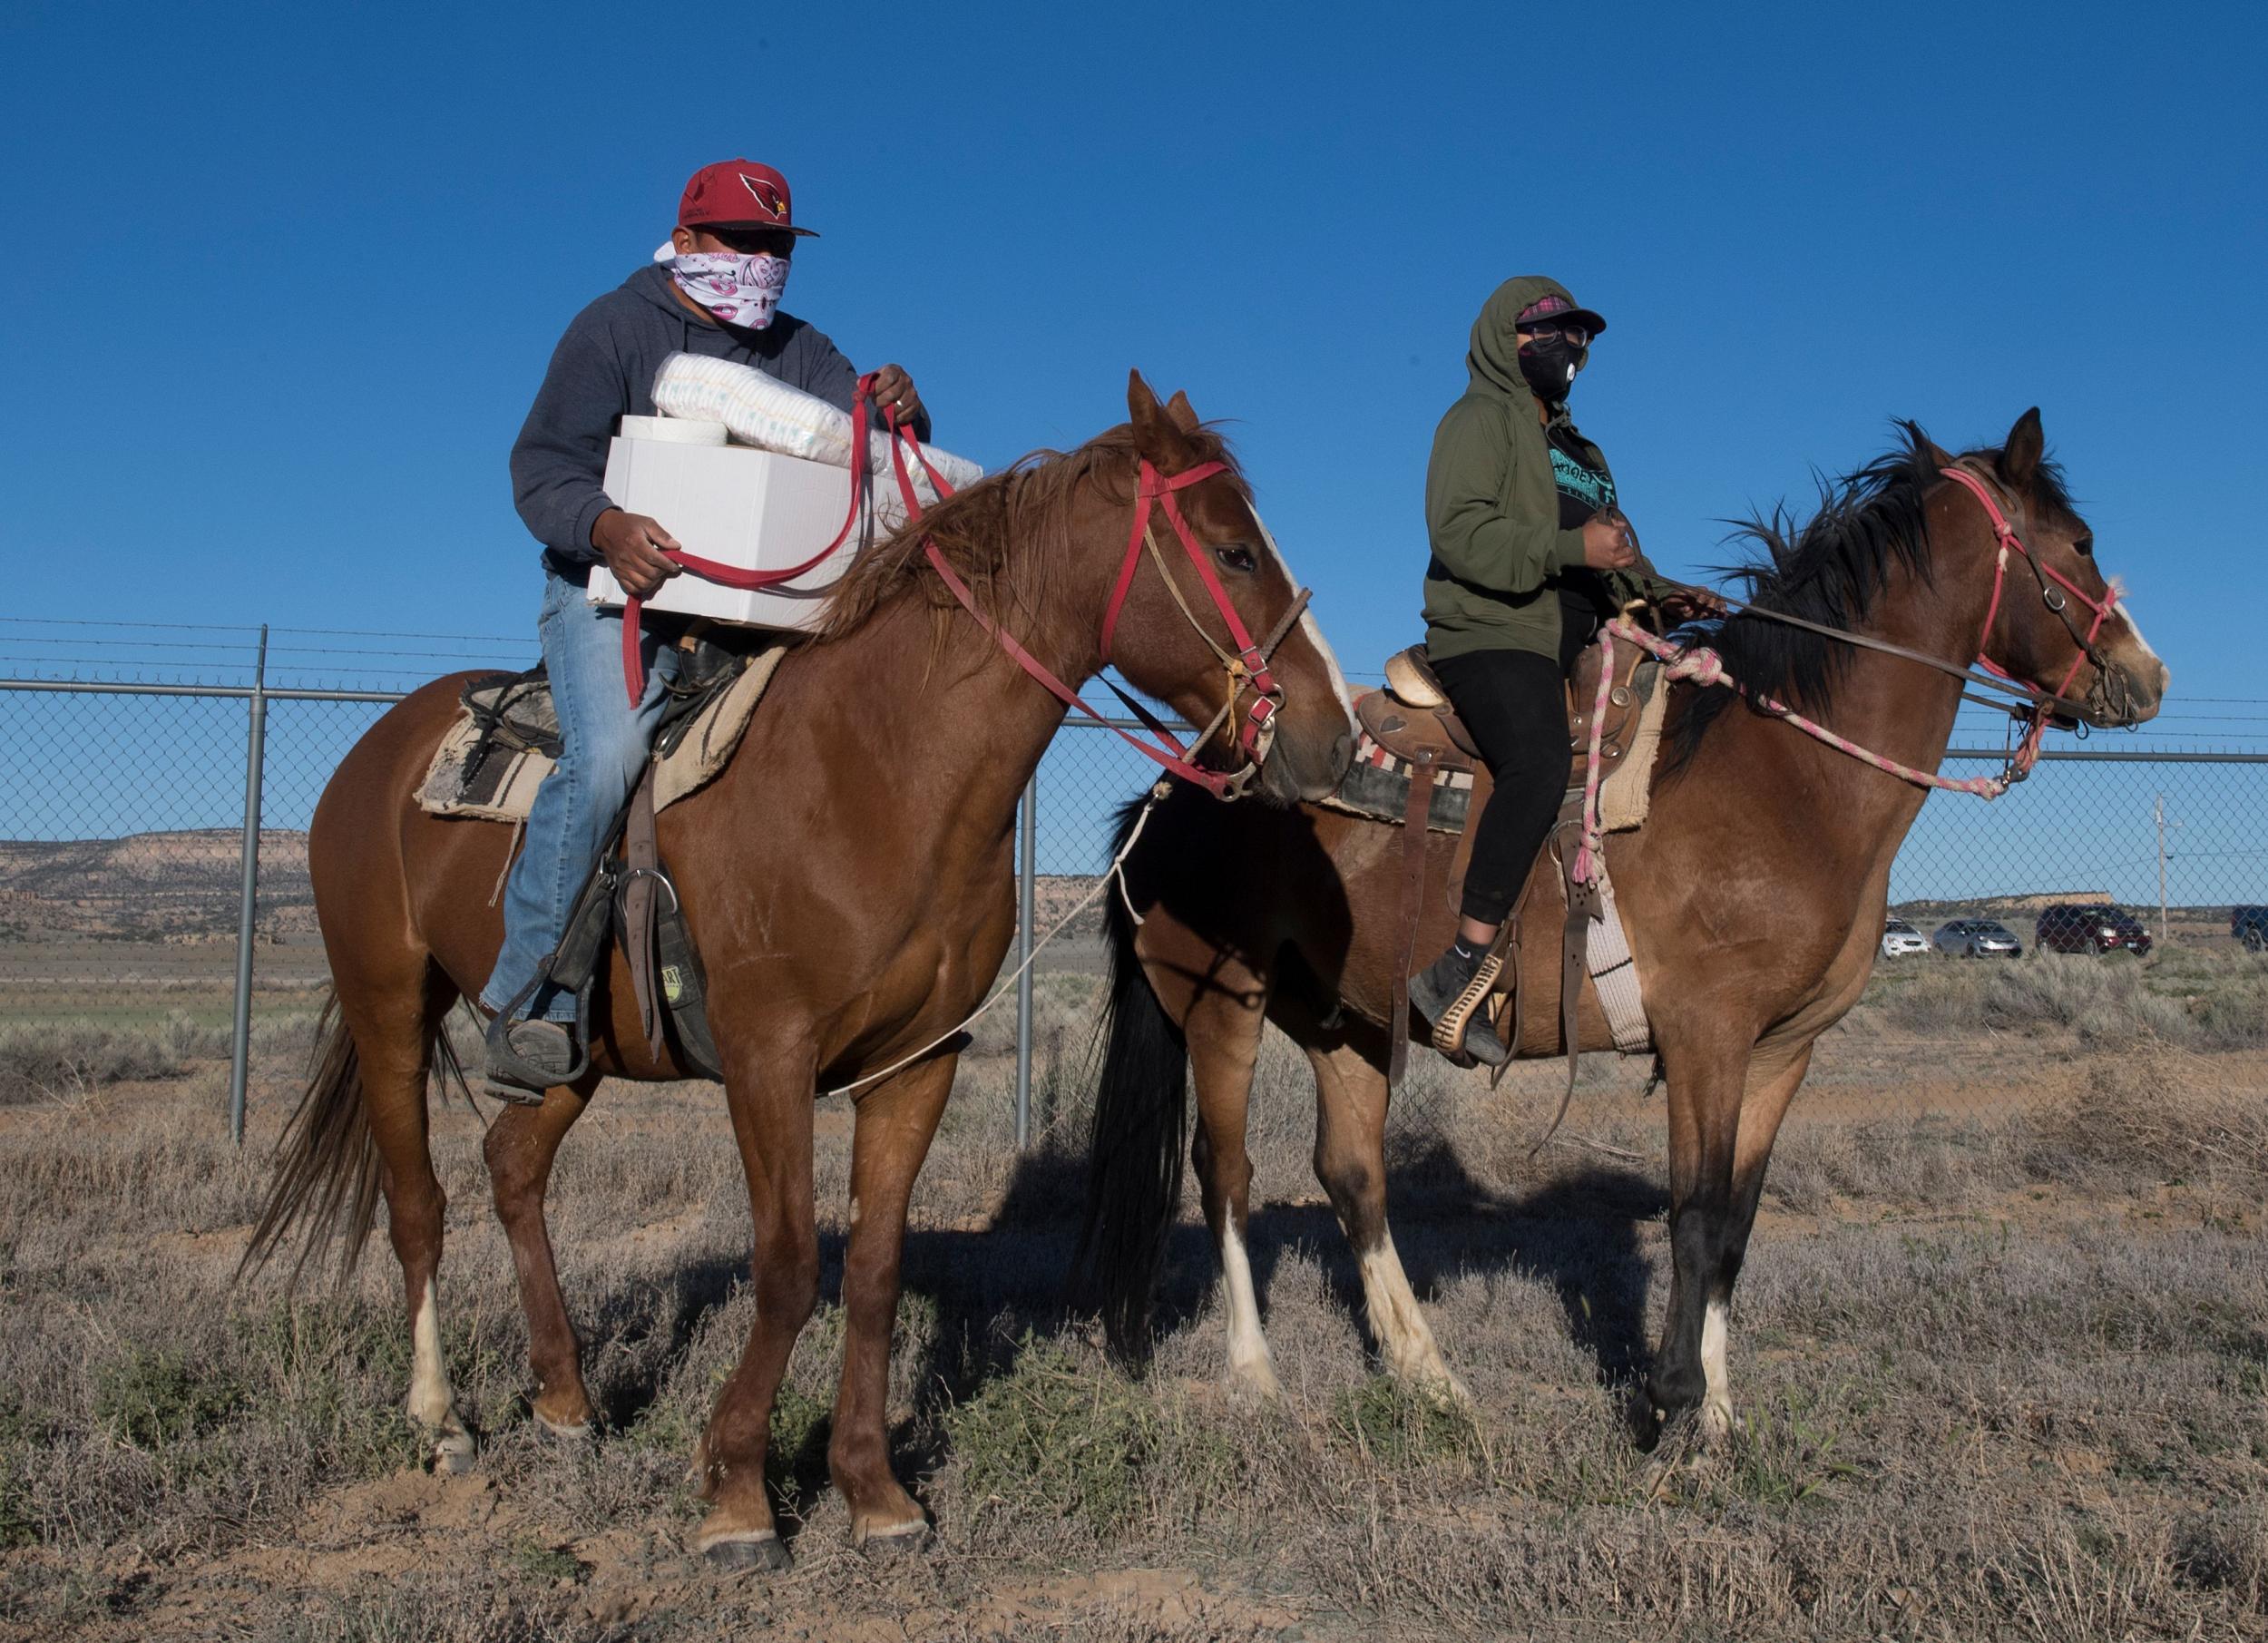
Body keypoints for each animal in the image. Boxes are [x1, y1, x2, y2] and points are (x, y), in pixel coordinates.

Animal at [248, 372, 1352, 1570]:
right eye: (1234, 549)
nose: (1335, 738)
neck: (878, 768)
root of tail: (374, 751)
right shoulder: (766, 1053)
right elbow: (785, 1265)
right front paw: (736, 1490)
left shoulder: (917, 1060)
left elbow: (871, 1268)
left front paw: (873, 1489)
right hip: (388, 1001)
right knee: (417, 1200)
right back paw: (442, 1418)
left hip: (572, 1047)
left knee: (511, 1165)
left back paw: (567, 1397)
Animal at [1070, 408, 2168, 1433]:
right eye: (2077, 543)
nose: (2147, 676)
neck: (1788, 776)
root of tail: (1172, 793)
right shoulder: (1706, 1037)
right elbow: (1694, 1215)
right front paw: (1673, 1403)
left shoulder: (1783, 1048)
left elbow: (1735, 1223)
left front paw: (1717, 1414)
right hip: (1222, 1006)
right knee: (1226, 1174)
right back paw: (1255, 1376)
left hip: (1345, 1021)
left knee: (1352, 1177)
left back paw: (1432, 1377)